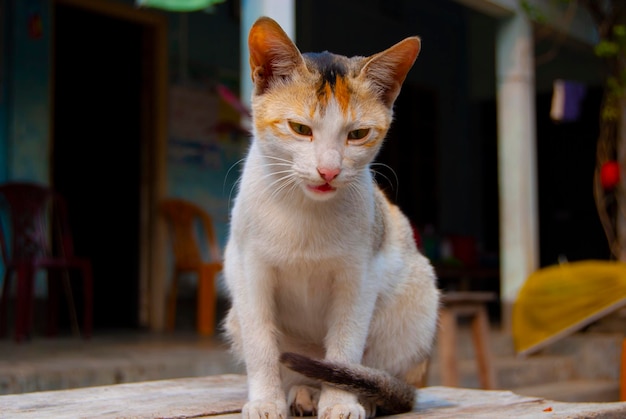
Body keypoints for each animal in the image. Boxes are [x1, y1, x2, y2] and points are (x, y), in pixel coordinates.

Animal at [223, 15, 438, 419]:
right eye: (300, 129)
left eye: (358, 134)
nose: (328, 171)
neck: (304, 210)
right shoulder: (247, 268)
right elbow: (261, 344)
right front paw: (266, 401)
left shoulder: (360, 274)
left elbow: (345, 343)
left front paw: (340, 402)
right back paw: (303, 393)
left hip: (419, 298)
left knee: (377, 373)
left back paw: (362, 396)